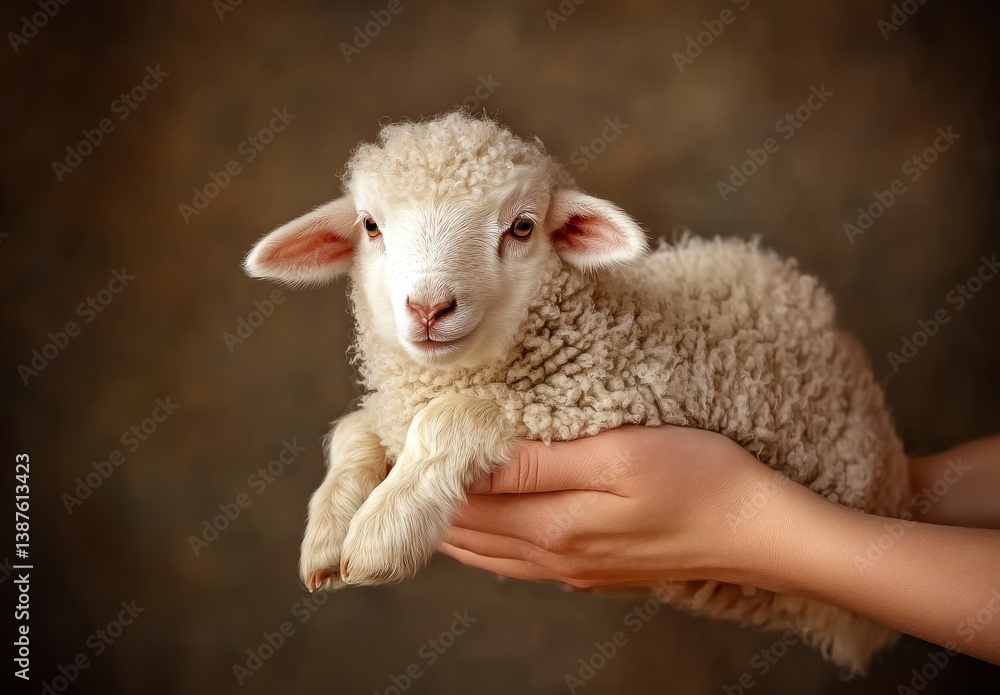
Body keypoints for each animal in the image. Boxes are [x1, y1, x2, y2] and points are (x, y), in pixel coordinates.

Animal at [243, 111, 910, 673]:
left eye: (521, 227)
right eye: (371, 226)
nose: (429, 309)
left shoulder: (600, 397)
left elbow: (452, 416)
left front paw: (385, 529)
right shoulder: (394, 410)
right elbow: (354, 431)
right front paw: (328, 530)